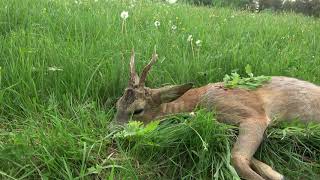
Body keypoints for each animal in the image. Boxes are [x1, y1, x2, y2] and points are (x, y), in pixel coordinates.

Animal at [114, 49, 318, 180]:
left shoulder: (254, 115)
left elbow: (237, 158)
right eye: (117, 104)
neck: (198, 101)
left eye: (137, 110)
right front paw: (276, 173)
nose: (112, 130)